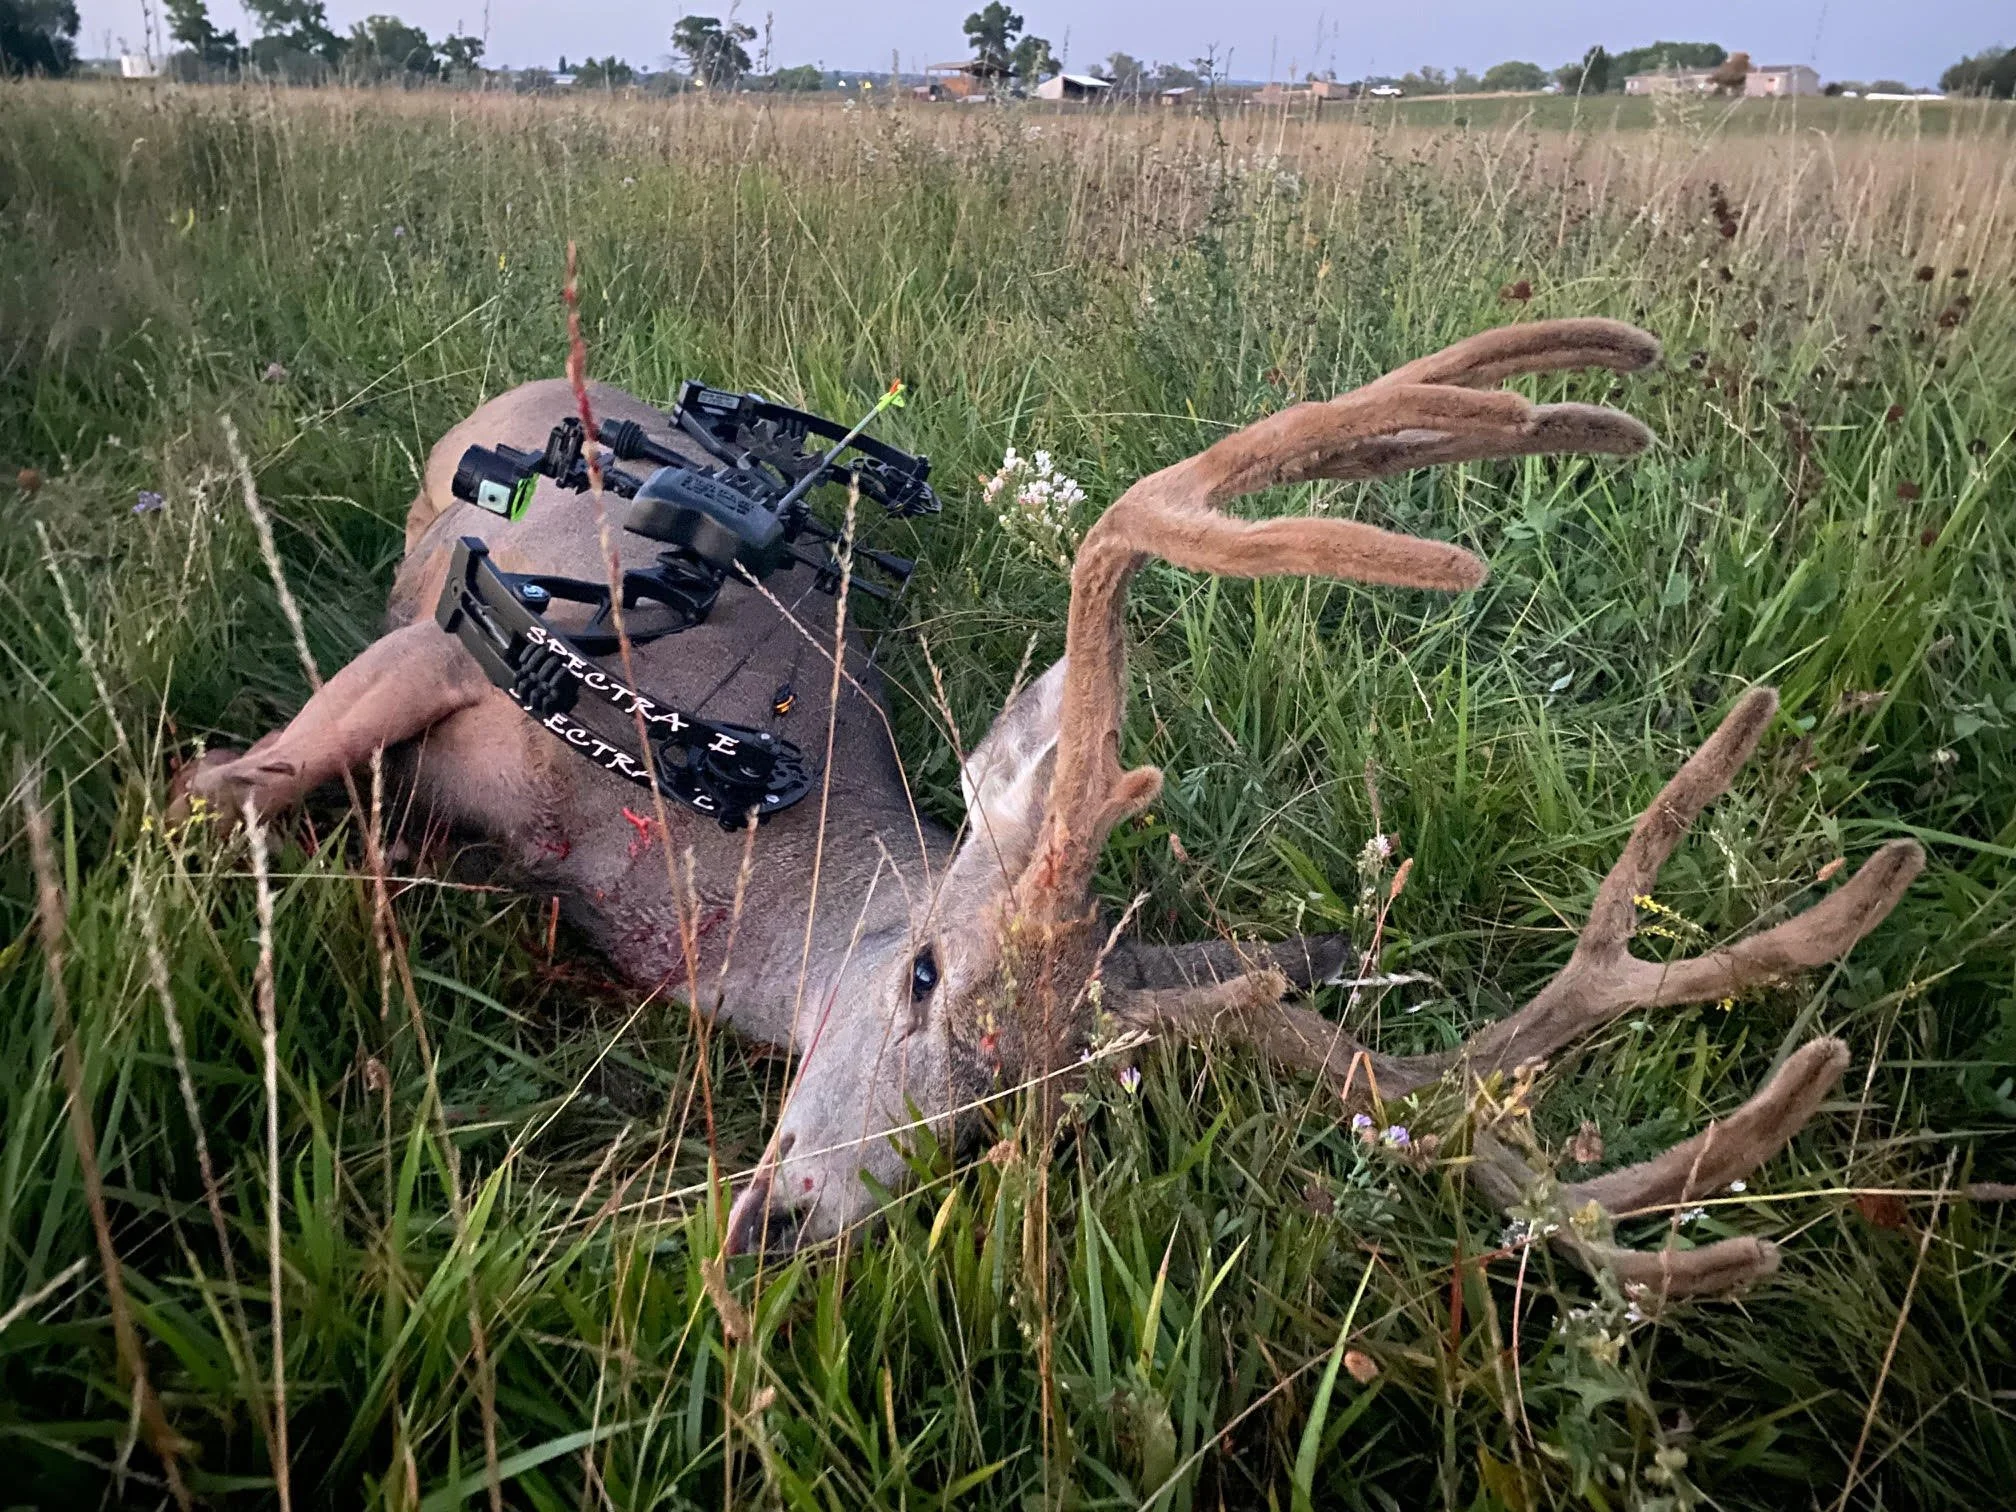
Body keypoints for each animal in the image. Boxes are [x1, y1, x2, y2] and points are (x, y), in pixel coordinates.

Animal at [176, 318, 1923, 1300]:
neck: (703, 852)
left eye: (1024, 1114)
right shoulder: (466, 643)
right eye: (922, 975)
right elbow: (232, 795)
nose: (785, 1233)